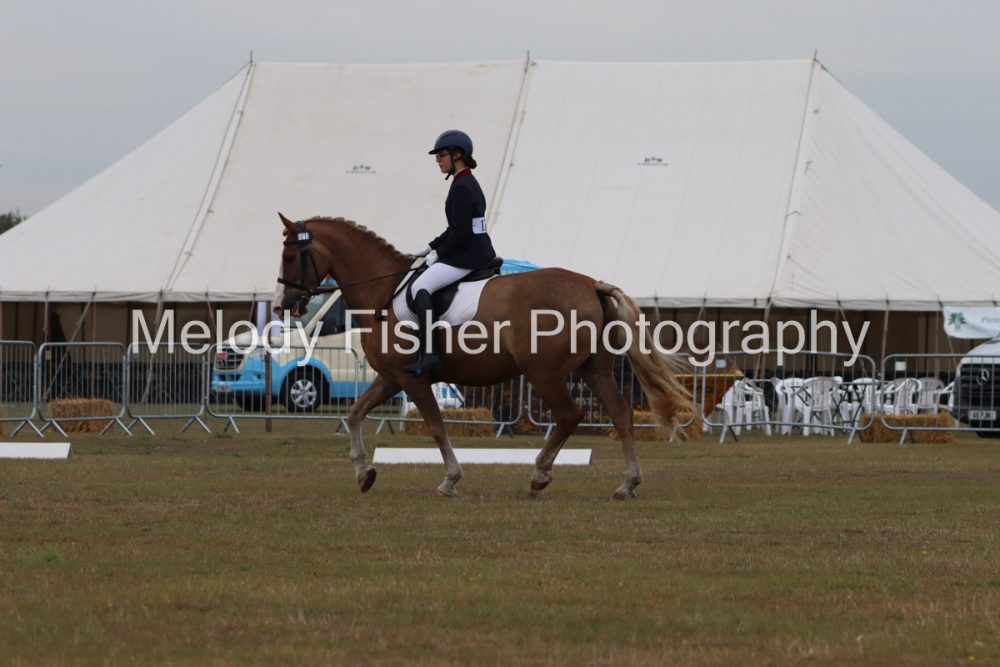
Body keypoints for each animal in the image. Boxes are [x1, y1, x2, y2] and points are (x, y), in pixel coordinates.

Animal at [275, 214, 691, 499]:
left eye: (290, 256)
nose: (282, 305)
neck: (384, 293)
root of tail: (591, 284)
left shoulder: (413, 379)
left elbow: (436, 426)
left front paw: (450, 480)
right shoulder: (391, 378)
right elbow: (354, 414)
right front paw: (364, 473)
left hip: (544, 373)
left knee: (570, 414)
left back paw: (540, 474)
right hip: (595, 370)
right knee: (620, 415)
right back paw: (627, 484)